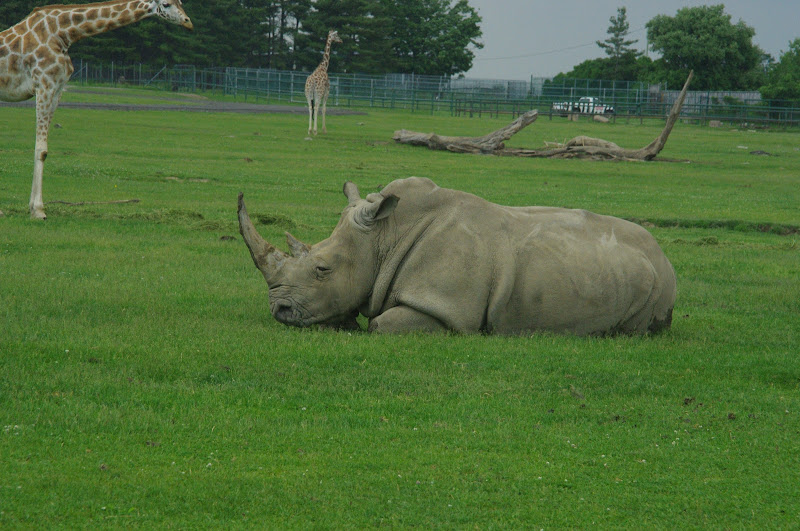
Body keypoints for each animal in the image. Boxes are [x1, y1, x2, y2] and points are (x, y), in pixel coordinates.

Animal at [0, 1, 193, 219]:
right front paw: (39, 210)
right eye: (166, 4)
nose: (188, 22)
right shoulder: (44, 85)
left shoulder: (57, 90)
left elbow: (43, 149)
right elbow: (41, 150)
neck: (65, 33)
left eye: (181, 3)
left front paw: (34, 207)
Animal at [238, 177, 676, 336]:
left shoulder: (446, 307)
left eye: (322, 269)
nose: (279, 311)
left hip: (658, 284)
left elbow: (380, 325)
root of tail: (664, 255)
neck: (384, 236)